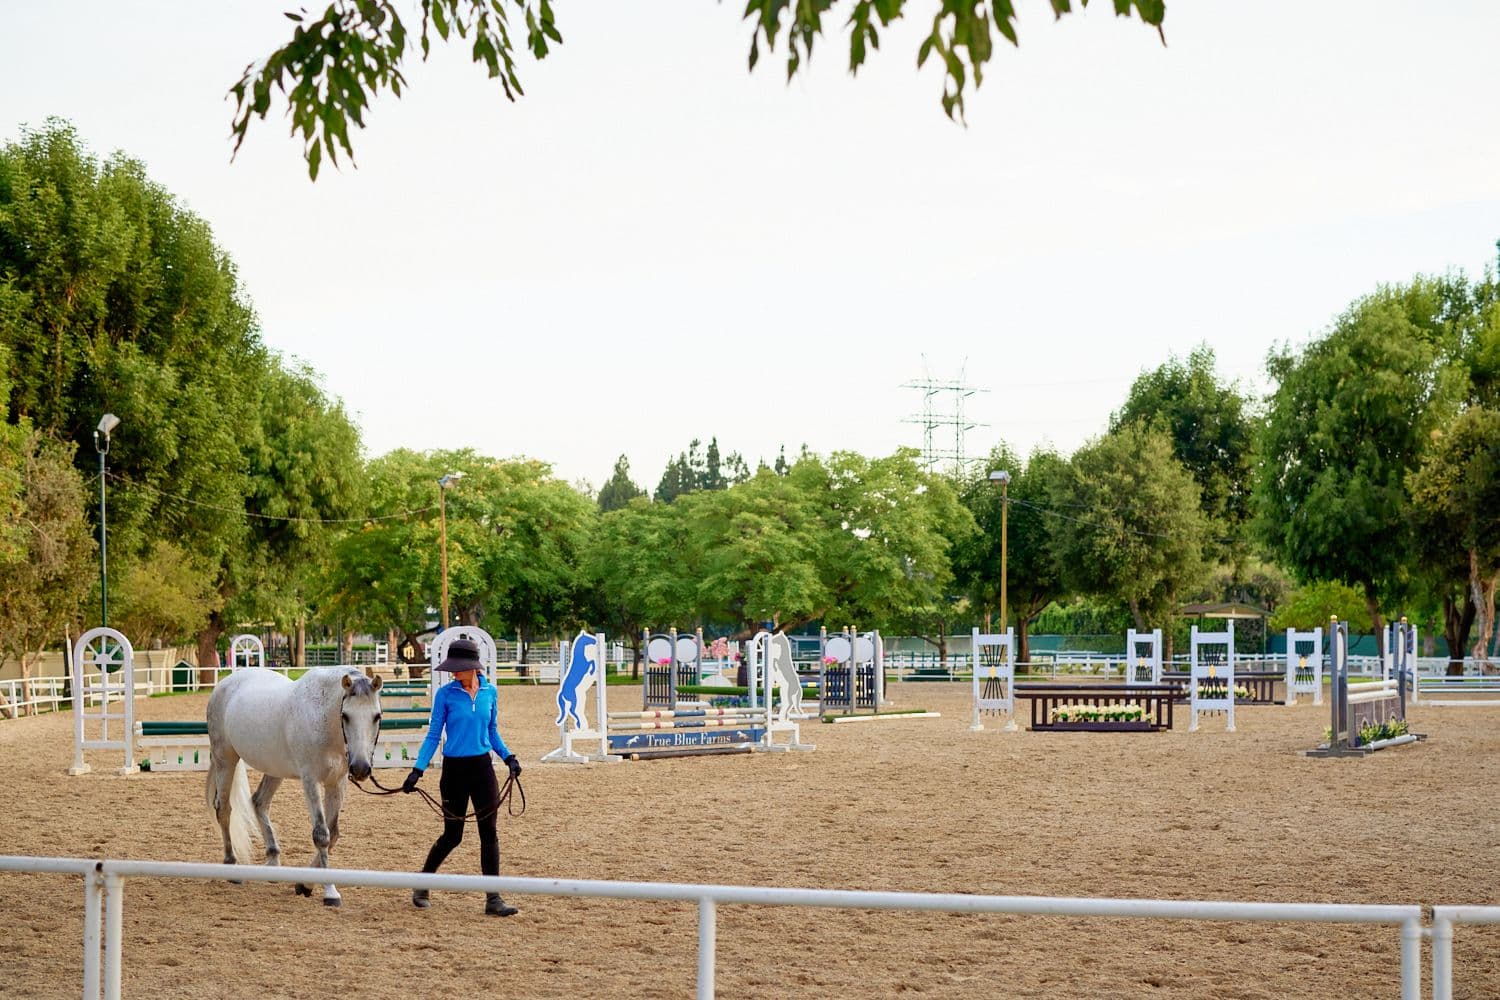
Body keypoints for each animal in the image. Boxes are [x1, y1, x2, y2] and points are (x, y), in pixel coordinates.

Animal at [205, 665, 387, 905]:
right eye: (345, 716)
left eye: (377, 716)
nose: (360, 768)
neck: (324, 718)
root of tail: (224, 685)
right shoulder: (310, 780)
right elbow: (321, 835)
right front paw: (330, 892)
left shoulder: (336, 783)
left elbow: (333, 833)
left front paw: (305, 884)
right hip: (225, 760)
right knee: (224, 810)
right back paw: (231, 866)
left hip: (274, 769)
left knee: (259, 802)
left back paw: (273, 863)